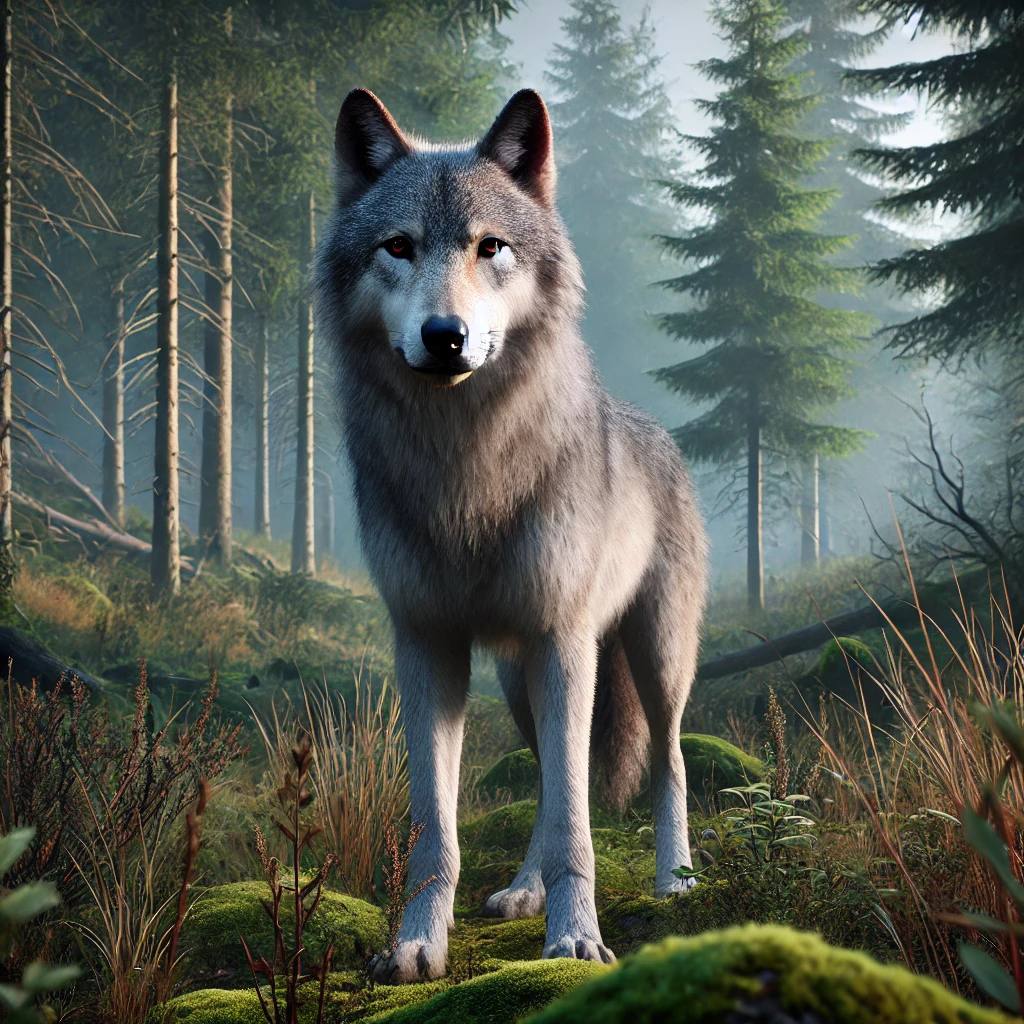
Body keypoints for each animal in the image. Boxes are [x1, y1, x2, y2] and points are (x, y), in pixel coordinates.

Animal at [315, 87, 708, 983]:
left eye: (489, 246)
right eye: (399, 247)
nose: (446, 335)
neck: (467, 472)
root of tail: (655, 432)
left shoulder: (563, 639)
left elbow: (575, 825)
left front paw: (576, 940)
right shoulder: (427, 646)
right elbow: (438, 826)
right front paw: (417, 944)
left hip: (649, 657)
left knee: (663, 762)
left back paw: (675, 876)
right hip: (520, 680)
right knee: (555, 784)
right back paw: (524, 889)